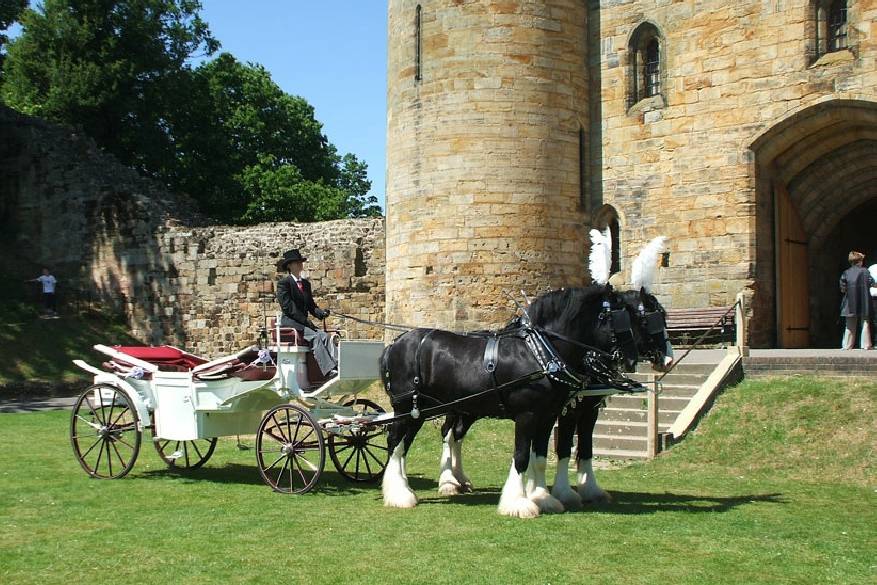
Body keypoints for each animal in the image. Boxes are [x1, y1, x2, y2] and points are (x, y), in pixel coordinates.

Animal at [378, 282, 636, 516]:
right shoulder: (528, 415)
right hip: (407, 407)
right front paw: (518, 503)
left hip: (430, 410)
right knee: (396, 443)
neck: (539, 353)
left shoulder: (549, 415)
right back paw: (400, 494)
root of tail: (395, 344)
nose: (632, 360)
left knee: (412, 442)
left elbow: (540, 457)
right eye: (622, 317)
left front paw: (543, 498)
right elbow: (522, 456)